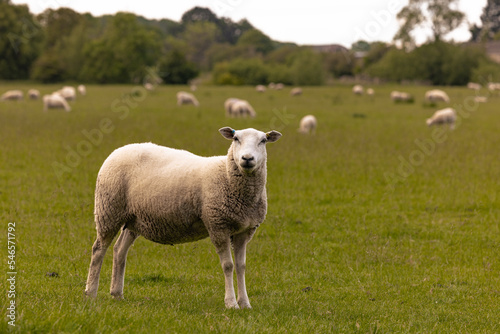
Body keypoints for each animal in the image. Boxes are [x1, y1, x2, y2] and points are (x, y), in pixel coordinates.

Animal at [84, 126, 284, 310]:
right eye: (236, 139)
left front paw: (245, 303)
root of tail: (118, 150)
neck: (227, 176)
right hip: (109, 210)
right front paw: (231, 303)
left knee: (119, 250)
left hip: (134, 219)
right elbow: (228, 265)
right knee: (98, 249)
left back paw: (117, 293)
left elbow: (241, 266)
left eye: (263, 141)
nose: (247, 159)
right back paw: (91, 292)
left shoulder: (245, 231)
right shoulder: (217, 225)